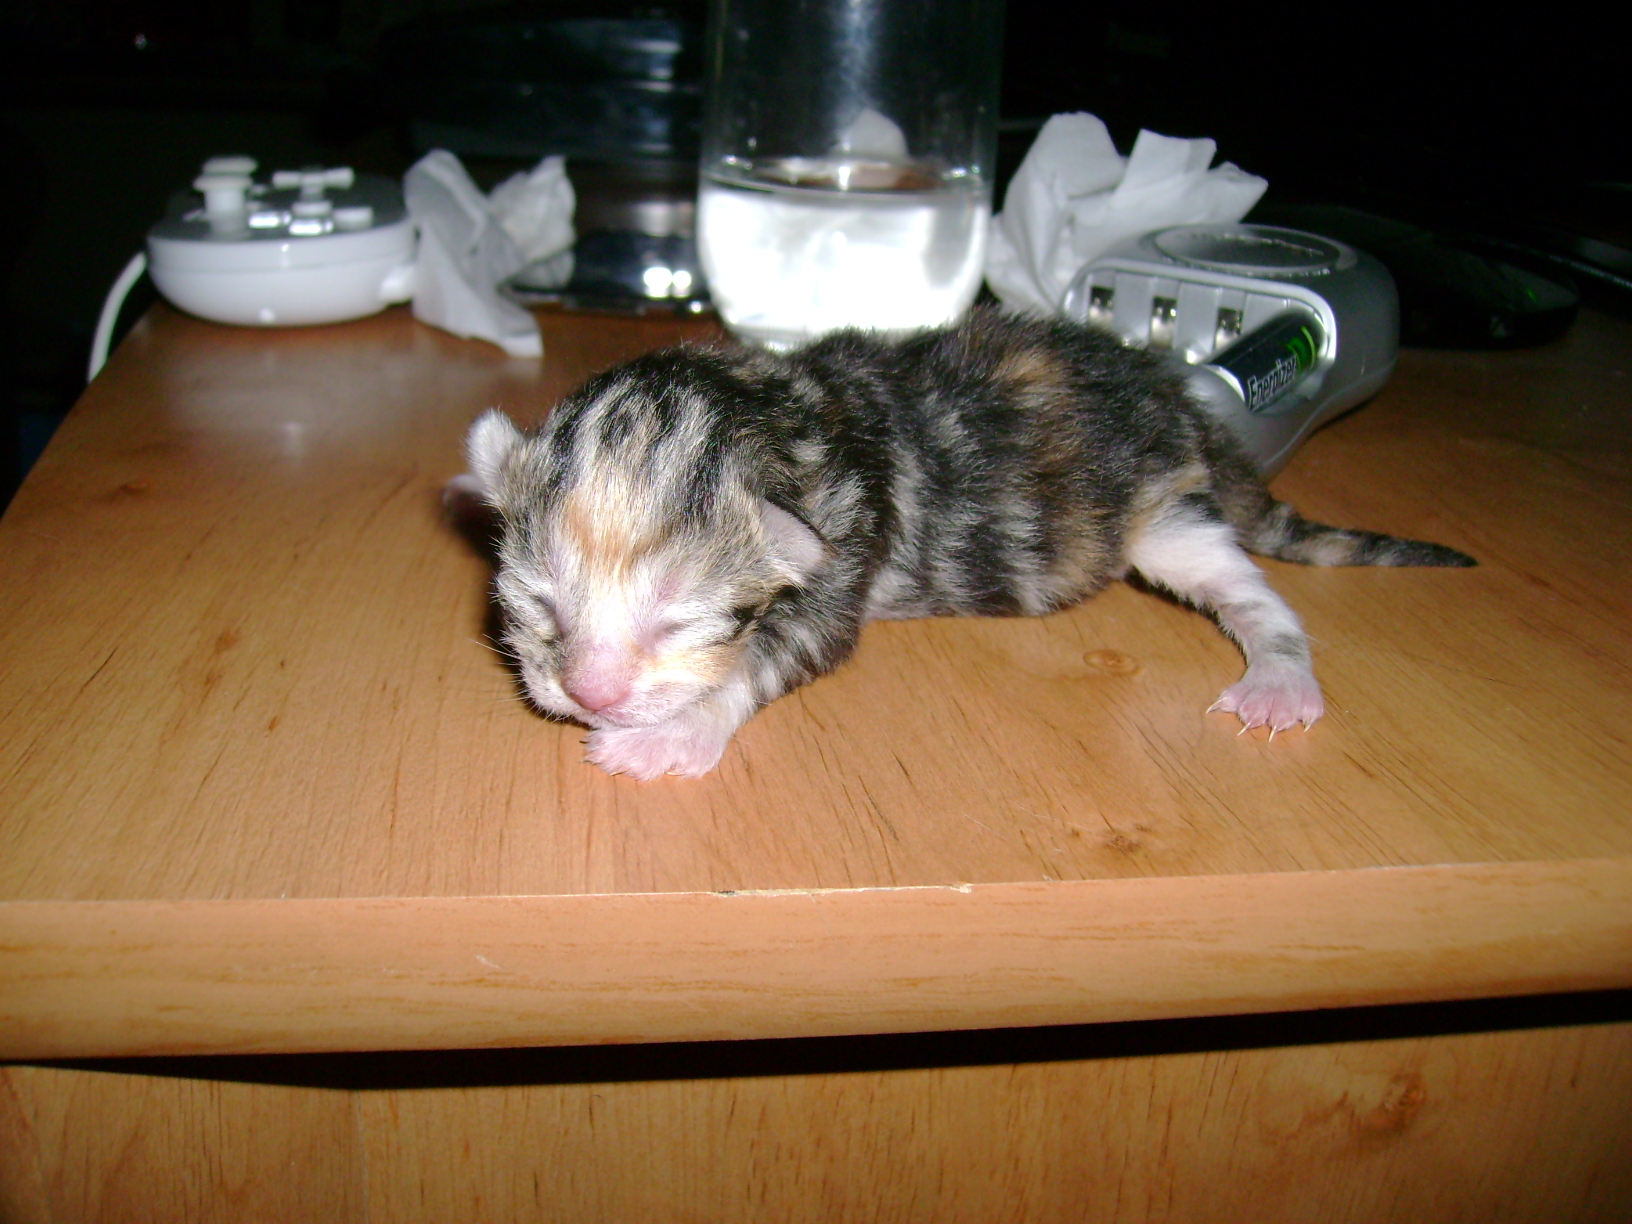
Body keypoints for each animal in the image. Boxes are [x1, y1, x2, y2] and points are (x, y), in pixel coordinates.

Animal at [457, 306, 1473, 780]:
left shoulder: (846, 553)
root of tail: (1183, 402)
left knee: (1255, 593)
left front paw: (669, 735)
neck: (781, 410)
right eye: (538, 605)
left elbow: (772, 657)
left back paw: (1278, 682)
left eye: (677, 620)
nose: (590, 695)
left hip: (1159, 519)